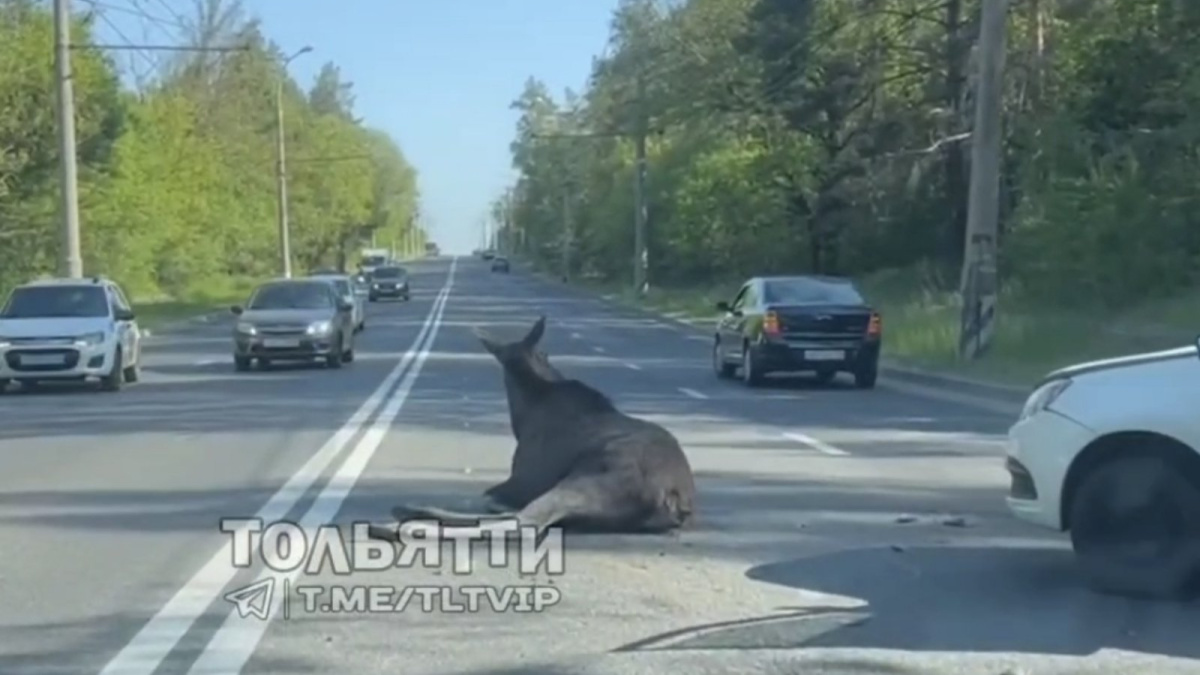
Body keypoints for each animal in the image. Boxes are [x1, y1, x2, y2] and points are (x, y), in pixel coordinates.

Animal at [369, 317, 700, 540]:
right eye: (545, 353)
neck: (525, 413)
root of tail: (672, 499)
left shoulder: (521, 480)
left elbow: (485, 497)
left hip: (592, 476)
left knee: (526, 522)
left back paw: (401, 524)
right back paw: (407, 511)